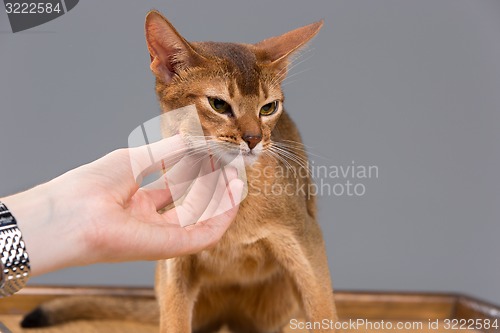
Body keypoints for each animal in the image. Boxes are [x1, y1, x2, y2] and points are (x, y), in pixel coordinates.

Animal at [21, 9, 338, 332]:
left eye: (269, 108)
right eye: (218, 104)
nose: (254, 139)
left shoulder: (304, 239)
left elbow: (324, 312)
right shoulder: (176, 261)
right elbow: (174, 319)